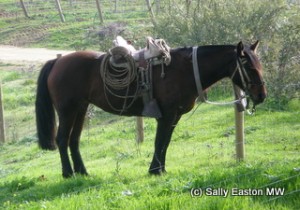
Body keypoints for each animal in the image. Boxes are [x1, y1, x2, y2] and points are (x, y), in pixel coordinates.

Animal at [35, 40, 268, 177]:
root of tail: (57, 62)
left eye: (259, 63)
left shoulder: (174, 117)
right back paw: (68, 173)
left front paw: (161, 169)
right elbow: (159, 142)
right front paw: (155, 170)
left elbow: (165, 143)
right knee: (62, 139)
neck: (184, 70)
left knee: (74, 140)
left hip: (80, 109)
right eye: (248, 66)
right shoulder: (166, 116)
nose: (261, 95)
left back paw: (82, 172)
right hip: (67, 110)